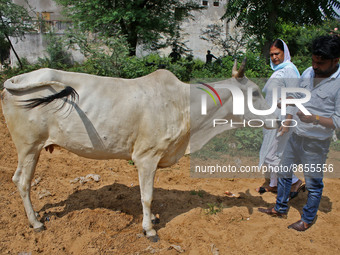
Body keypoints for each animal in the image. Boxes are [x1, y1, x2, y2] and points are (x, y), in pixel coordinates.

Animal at [0, 59, 278, 241]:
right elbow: (147, 196)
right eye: (255, 93)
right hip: (28, 146)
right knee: (22, 181)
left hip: (34, 149)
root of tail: (15, 80)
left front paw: (152, 219)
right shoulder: (146, 157)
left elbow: (148, 195)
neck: (184, 106)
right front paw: (150, 229)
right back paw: (35, 222)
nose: (278, 118)